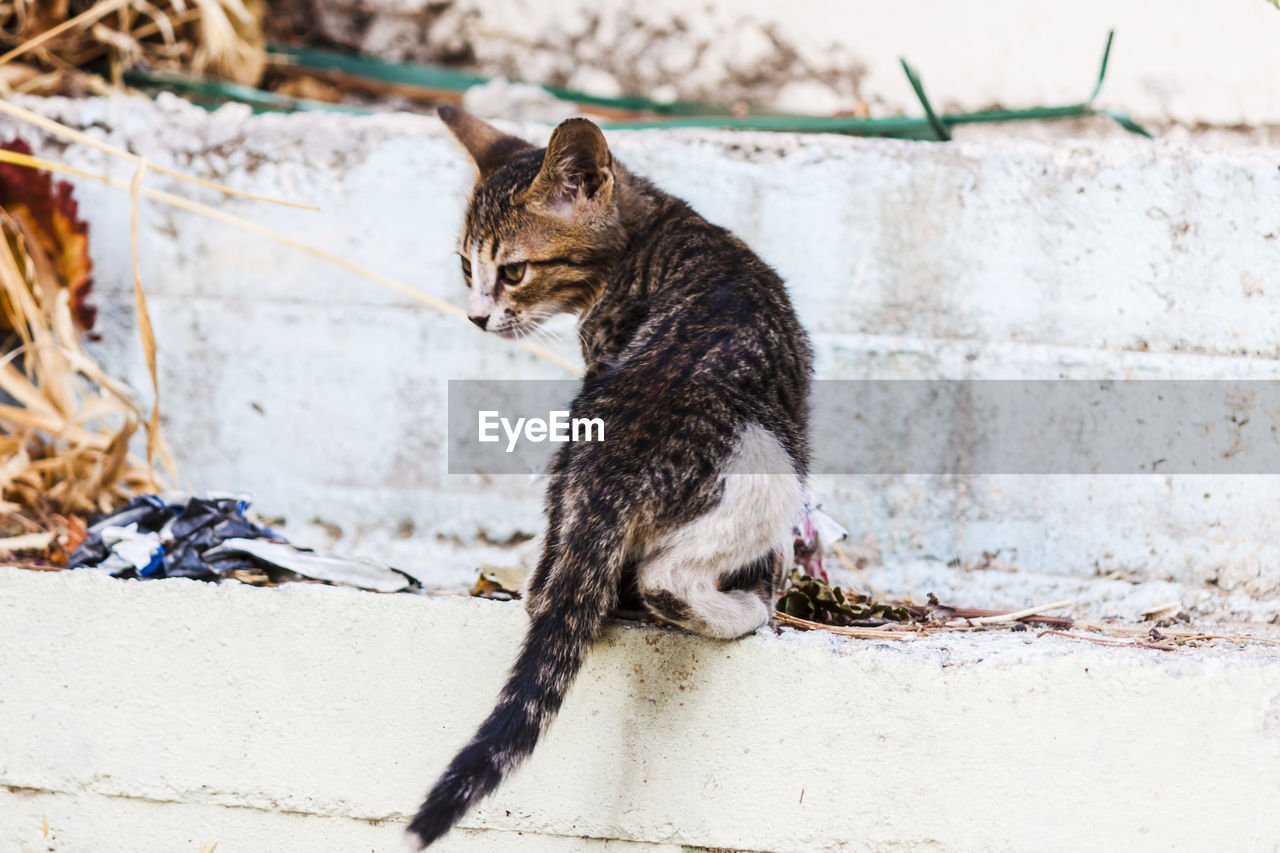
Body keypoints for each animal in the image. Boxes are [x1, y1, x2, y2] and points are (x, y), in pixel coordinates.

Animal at [409, 106, 808, 845]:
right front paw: (782, 569)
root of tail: (610, 478)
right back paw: (745, 609)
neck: (652, 230)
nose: (476, 316)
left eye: (512, 271)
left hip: (571, 462)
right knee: (668, 579)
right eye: (466, 265)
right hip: (767, 463)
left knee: (547, 587)